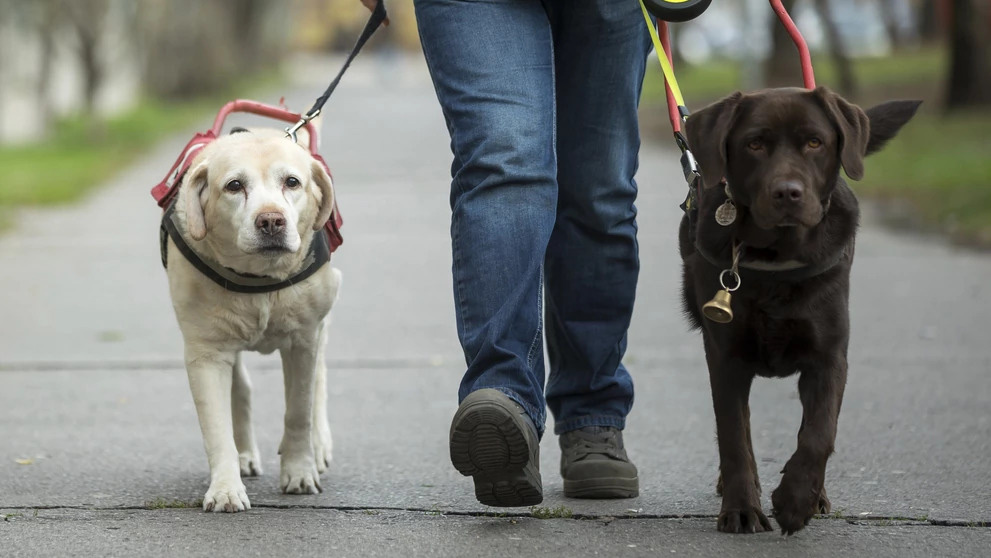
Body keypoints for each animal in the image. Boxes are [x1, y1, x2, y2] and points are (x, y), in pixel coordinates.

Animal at [165, 128, 342, 516]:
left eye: (292, 182)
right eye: (234, 186)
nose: (271, 220)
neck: (258, 278)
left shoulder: (303, 341)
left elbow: (299, 411)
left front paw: (299, 473)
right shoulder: (206, 354)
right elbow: (217, 430)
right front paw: (226, 489)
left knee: (320, 378)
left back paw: (320, 445)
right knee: (240, 389)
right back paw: (245, 455)